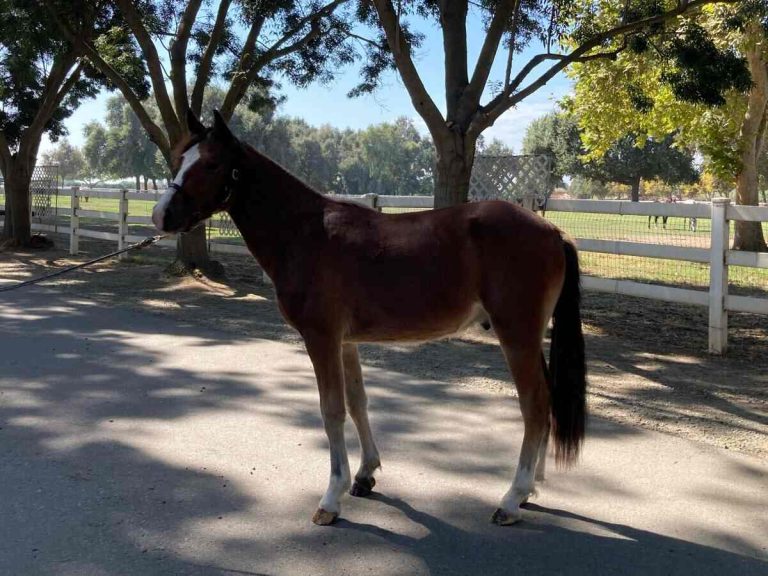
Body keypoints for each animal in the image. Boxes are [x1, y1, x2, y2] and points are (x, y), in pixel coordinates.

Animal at [150, 110, 588, 528]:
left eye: (211, 164)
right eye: (180, 159)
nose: (160, 216)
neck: (305, 233)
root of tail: (551, 229)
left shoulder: (321, 338)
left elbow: (331, 411)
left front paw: (331, 498)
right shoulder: (346, 342)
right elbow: (357, 402)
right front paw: (365, 474)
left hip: (516, 335)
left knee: (535, 405)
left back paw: (512, 498)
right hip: (529, 337)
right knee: (545, 401)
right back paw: (531, 488)